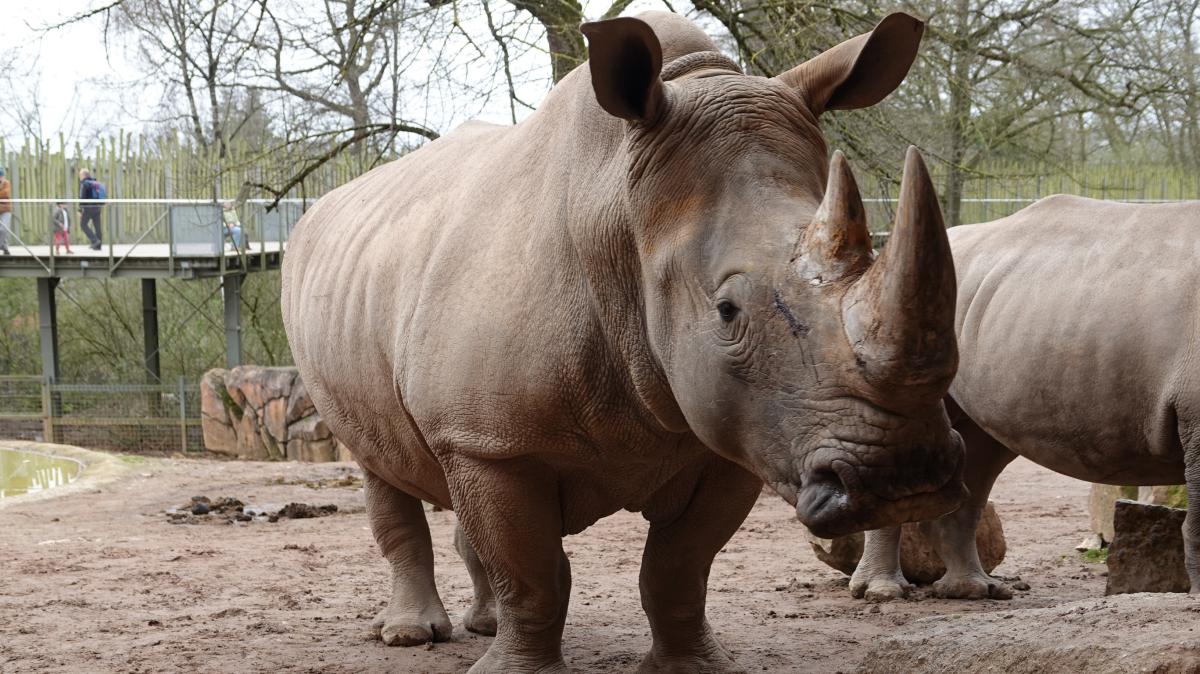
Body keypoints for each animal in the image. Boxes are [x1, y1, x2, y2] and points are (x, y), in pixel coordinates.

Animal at [283, 11, 965, 672]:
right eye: (726, 312)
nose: (905, 478)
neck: (619, 214)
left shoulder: (734, 431)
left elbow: (678, 567)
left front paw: (694, 668)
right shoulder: (490, 440)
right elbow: (532, 575)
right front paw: (518, 670)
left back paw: (482, 627)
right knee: (377, 464)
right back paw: (410, 635)